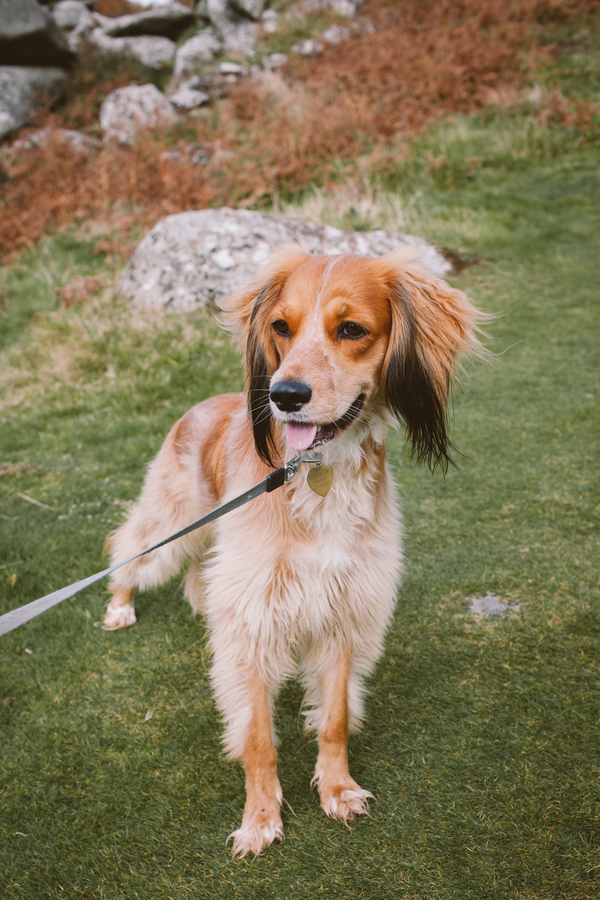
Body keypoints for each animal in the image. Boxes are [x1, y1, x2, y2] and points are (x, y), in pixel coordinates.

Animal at [102, 244, 482, 856]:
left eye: (351, 329)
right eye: (281, 326)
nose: (283, 396)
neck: (317, 476)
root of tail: (202, 404)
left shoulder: (346, 609)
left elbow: (334, 719)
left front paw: (337, 788)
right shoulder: (252, 623)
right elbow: (258, 737)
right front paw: (260, 817)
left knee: (195, 575)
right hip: (173, 522)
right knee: (128, 548)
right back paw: (119, 605)